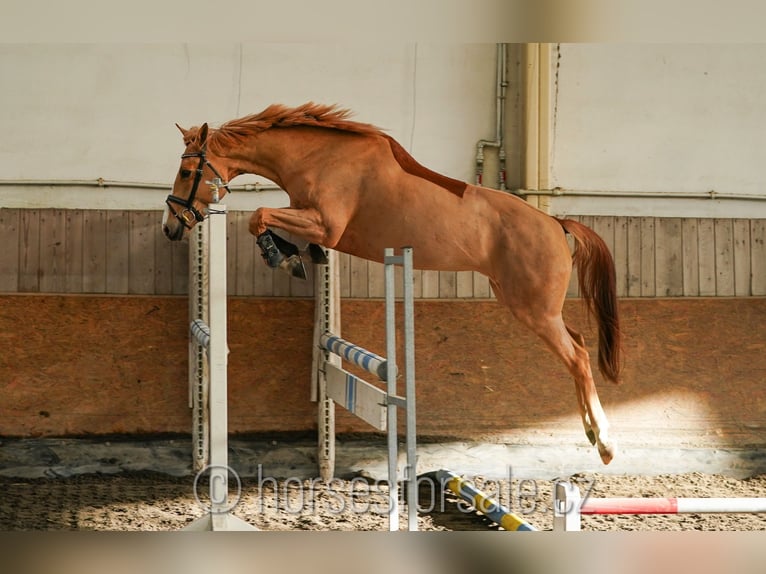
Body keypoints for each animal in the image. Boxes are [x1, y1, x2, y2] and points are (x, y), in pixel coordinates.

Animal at [164, 101, 624, 466]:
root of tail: (556, 223)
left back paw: (604, 444)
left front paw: (281, 255)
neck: (316, 157)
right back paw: (590, 432)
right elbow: (277, 227)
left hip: (533, 308)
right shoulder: (313, 222)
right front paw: (293, 256)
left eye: (187, 171)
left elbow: (259, 216)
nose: (172, 227)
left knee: (578, 357)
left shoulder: (326, 224)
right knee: (580, 343)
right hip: (524, 303)